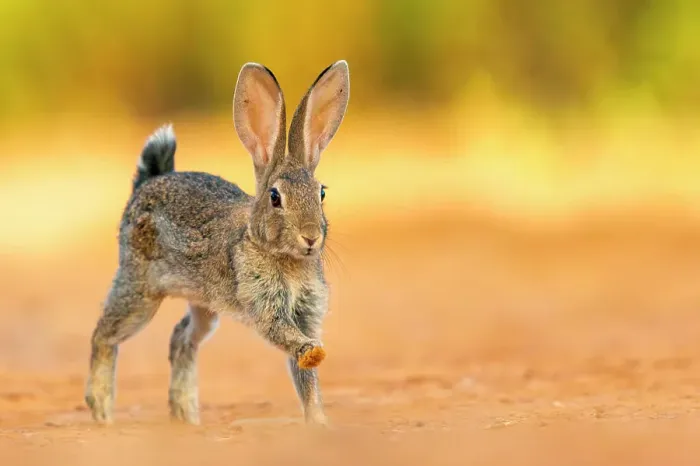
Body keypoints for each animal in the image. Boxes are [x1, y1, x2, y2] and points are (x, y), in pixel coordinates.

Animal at [84, 60, 350, 426]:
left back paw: (186, 416)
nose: (310, 237)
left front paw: (319, 422)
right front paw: (312, 352)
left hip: (204, 305)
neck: (278, 253)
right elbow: (284, 336)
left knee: (181, 338)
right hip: (140, 290)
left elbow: (306, 381)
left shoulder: (307, 312)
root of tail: (145, 185)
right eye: (275, 197)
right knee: (104, 334)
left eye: (321, 193)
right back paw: (101, 410)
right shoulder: (265, 306)